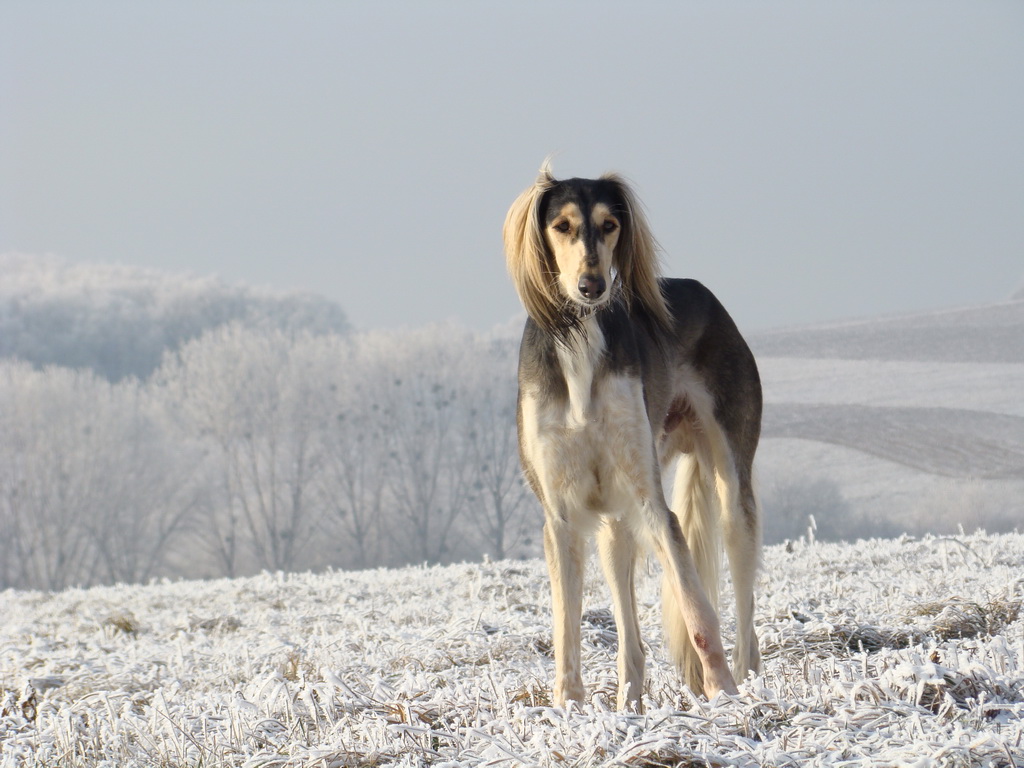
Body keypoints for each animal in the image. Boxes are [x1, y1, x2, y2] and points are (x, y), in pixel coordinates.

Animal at [503, 165, 761, 712]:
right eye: (561, 225)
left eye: (609, 225)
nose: (592, 286)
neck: (580, 337)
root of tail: (703, 291)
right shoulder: (560, 515)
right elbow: (566, 628)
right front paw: (568, 706)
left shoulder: (652, 504)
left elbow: (699, 612)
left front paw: (723, 695)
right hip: (612, 526)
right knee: (632, 640)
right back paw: (629, 707)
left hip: (732, 492)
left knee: (746, 620)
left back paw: (748, 684)